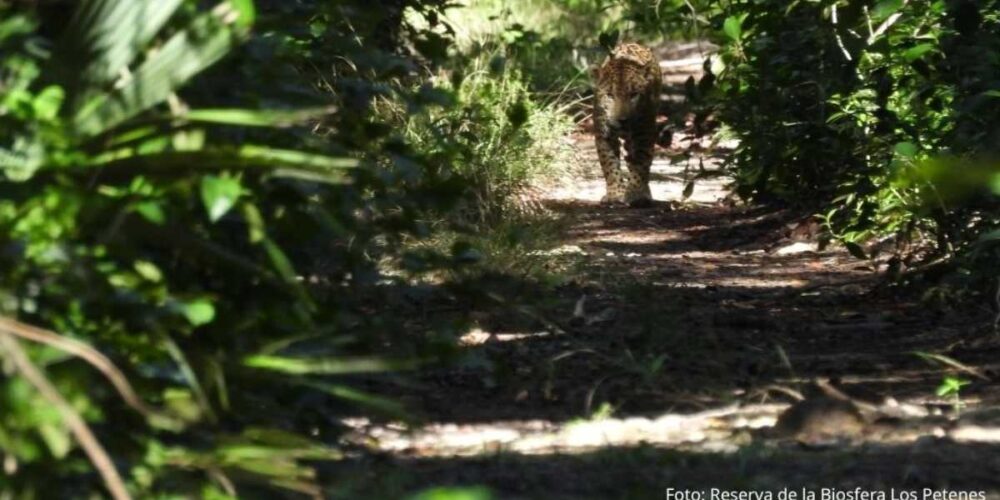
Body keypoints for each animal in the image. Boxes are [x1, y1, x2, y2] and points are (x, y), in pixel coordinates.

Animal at [592, 42, 662, 207]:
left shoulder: (645, 134)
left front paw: (636, 194)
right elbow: (609, 165)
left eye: (634, 95)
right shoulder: (604, 135)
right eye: (610, 96)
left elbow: (641, 164)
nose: (622, 119)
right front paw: (614, 194)